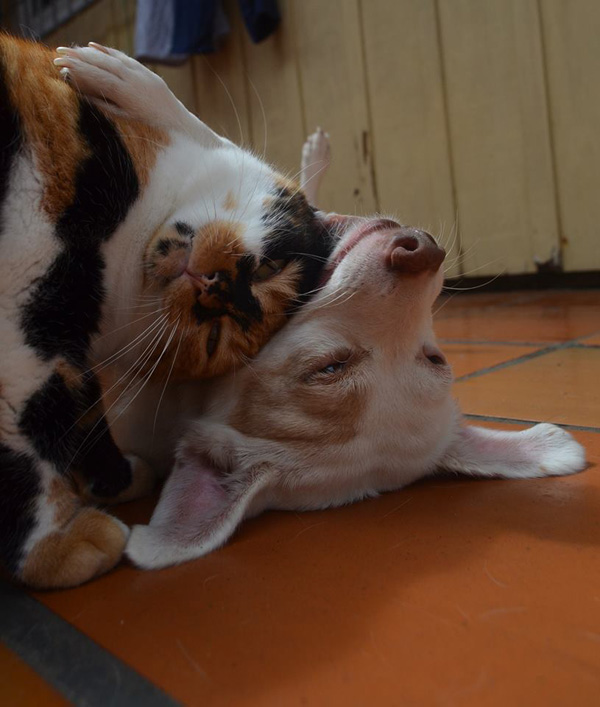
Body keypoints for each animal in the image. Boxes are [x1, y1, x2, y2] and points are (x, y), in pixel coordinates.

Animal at [0, 36, 332, 588]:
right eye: (268, 267)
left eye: (215, 336)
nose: (216, 289)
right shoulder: (24, 351)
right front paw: (58, 548)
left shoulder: (54, 345)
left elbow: (78, 414)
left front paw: (113, 483)